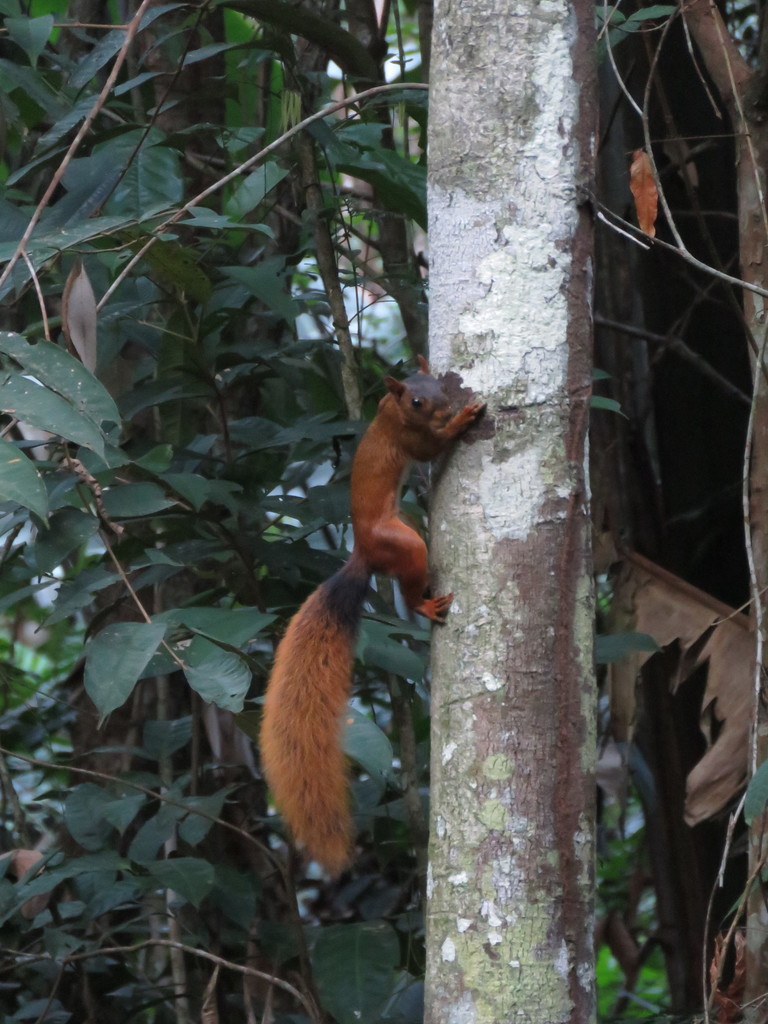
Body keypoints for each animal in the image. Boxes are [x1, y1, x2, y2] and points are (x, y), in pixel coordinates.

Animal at [259, 357, 485, 875]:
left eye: (437, 384)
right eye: (417, 401)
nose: (443, 406)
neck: (392, 412)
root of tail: (363, 553)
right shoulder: (411, 440)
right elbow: (433, 446)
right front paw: (462, 421)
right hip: (402, 542)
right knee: (411, 570)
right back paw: (423, 603)